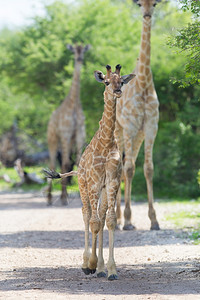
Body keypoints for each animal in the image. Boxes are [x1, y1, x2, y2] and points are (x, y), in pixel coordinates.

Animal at [43, 64, 134, 280]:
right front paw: (90, 264)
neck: (107, 142)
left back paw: (99, 268)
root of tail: (78, 170)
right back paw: (87, 263)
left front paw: (110, 270)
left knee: (99, 216)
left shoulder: (112, 181)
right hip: (84, 185)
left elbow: (109, 221)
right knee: (86, 214)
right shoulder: (94, 181)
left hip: (102, 189)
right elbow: (93, 221)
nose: (117, 91)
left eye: (121, 81)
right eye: (107, 82)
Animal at [46, 43, 90, 205]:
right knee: (54, 162)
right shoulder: (65, 134)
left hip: (68, 140)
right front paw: (64, 197)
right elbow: (65, 162)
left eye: (83, 51)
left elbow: (77, 161)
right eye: (74, 51)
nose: (79, 59)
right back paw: (50, 198)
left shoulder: (79, 135)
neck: (74, 105)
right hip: (53, 139)